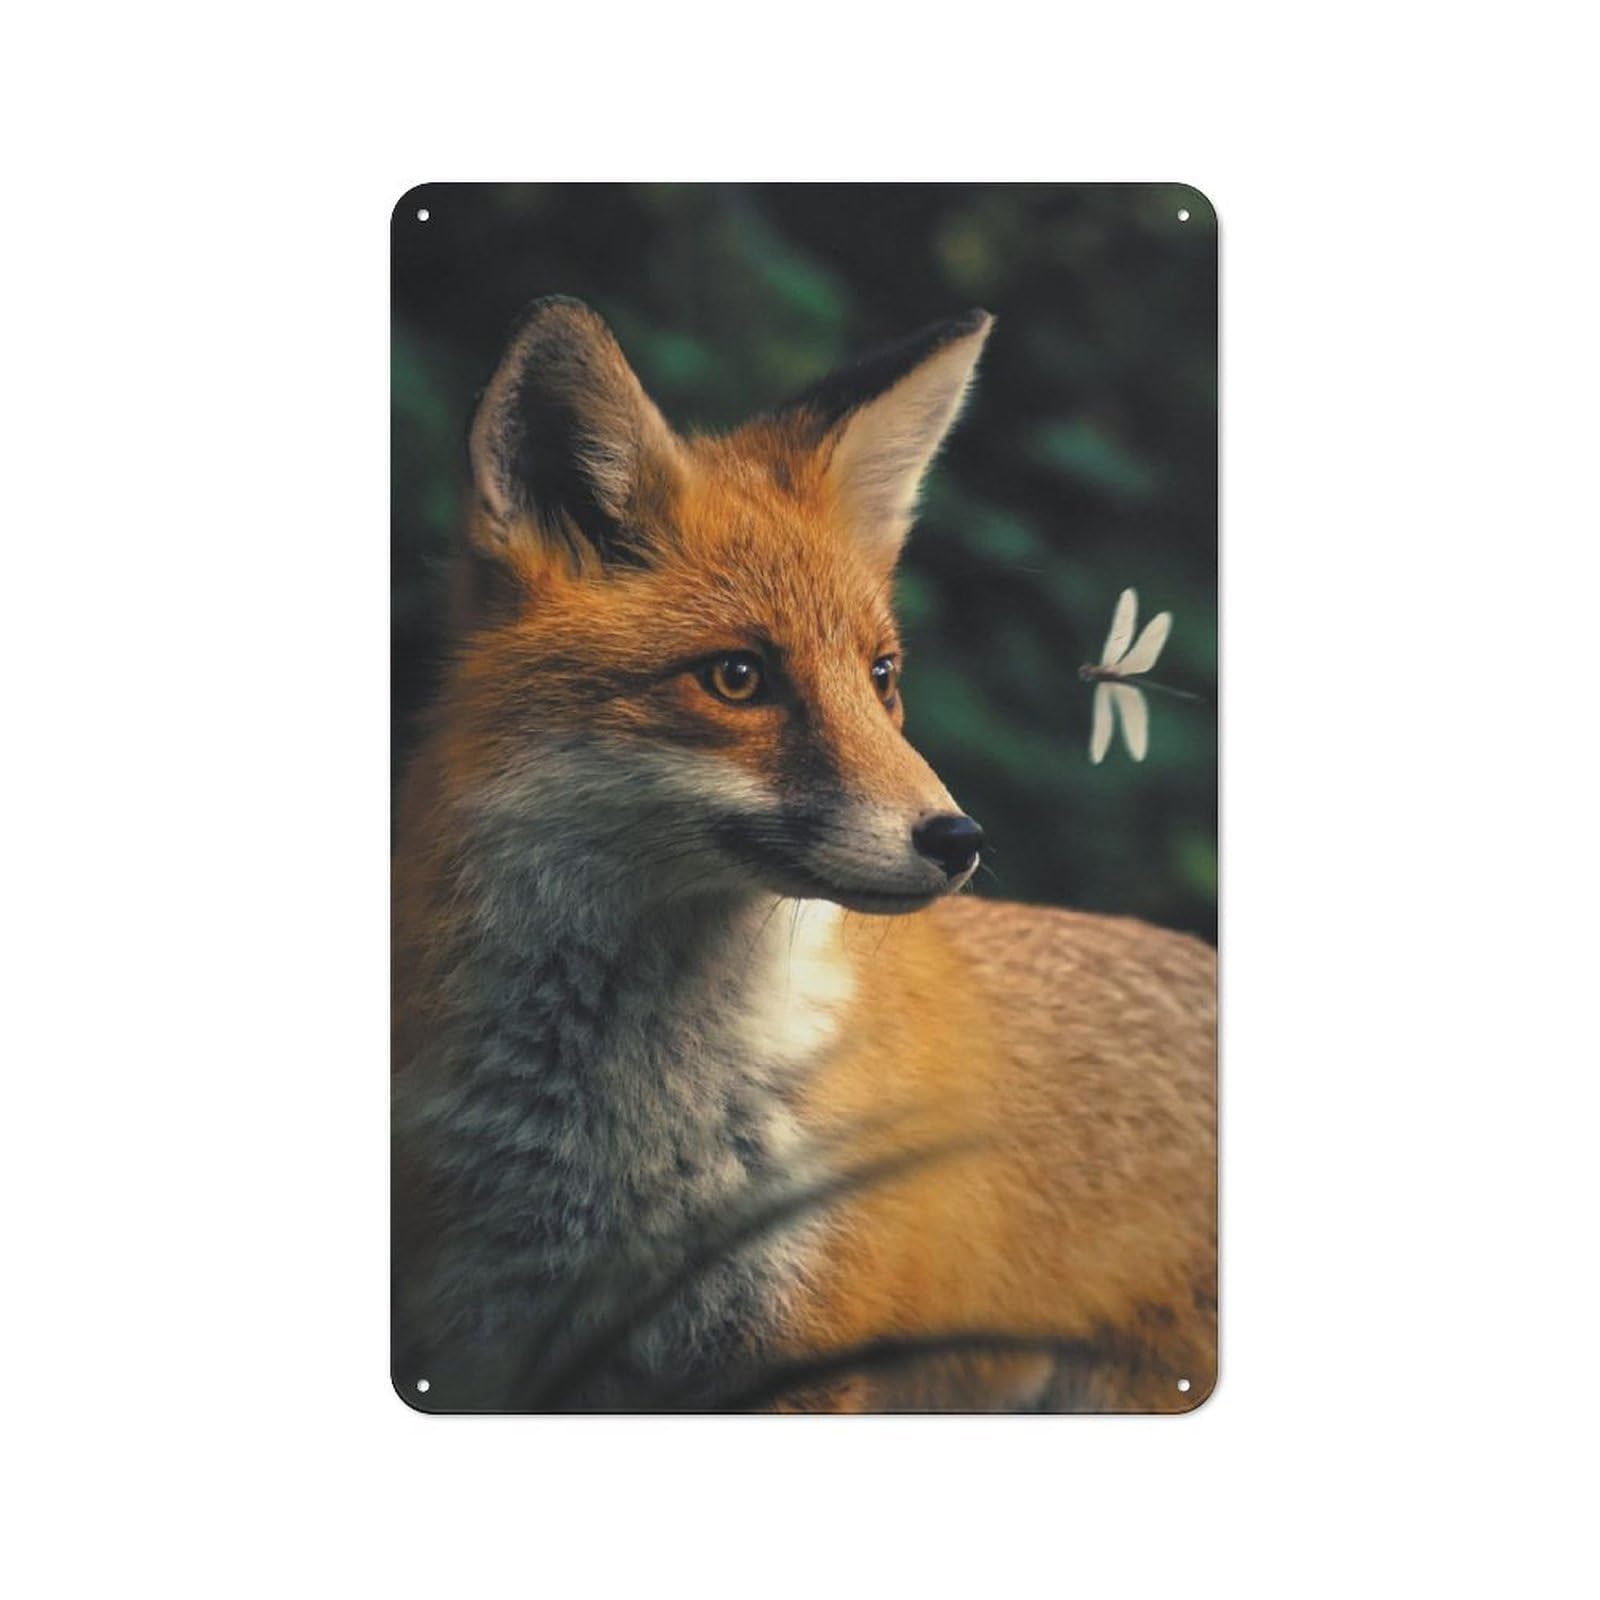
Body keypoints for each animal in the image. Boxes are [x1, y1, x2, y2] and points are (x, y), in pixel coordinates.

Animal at [392, 296, 1217, 1412]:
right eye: (736, 678)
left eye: (882, 676)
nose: (959, 839)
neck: (625, 1142)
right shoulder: (488, 1343)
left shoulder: (802, 1353)